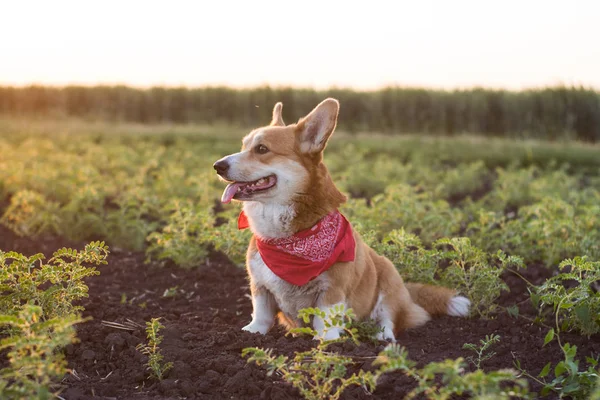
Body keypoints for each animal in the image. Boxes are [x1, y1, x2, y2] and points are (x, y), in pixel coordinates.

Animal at [213, 98, 472, 340]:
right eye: (244, 145)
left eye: (262, 149)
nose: (217, 165)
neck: (289, 240)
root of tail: (409, 294)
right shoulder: (260, 286)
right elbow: (261, 313)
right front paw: (252, 332)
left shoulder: (332, 288)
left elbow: (324, 318)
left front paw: (326, 342)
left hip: (389, 278)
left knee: (389, 318)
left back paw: (383, 337)